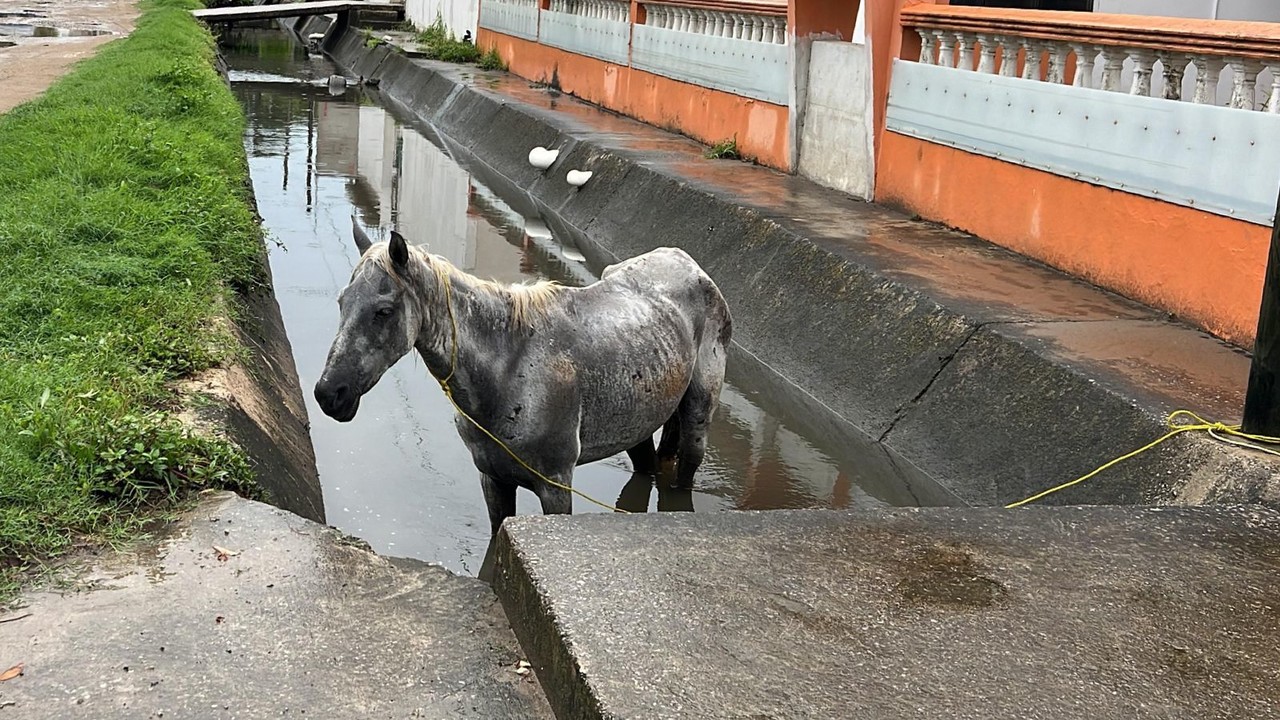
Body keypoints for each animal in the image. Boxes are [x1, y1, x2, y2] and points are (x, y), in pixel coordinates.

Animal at [313, 224, 732, 532]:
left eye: (383, 311)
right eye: (342, 302)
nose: (329, 394)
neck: (507, 371)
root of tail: (688, 263)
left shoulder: (555, 488)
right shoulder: (494, 480)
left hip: (698, 413)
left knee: (686, 469)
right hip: (638, 424)